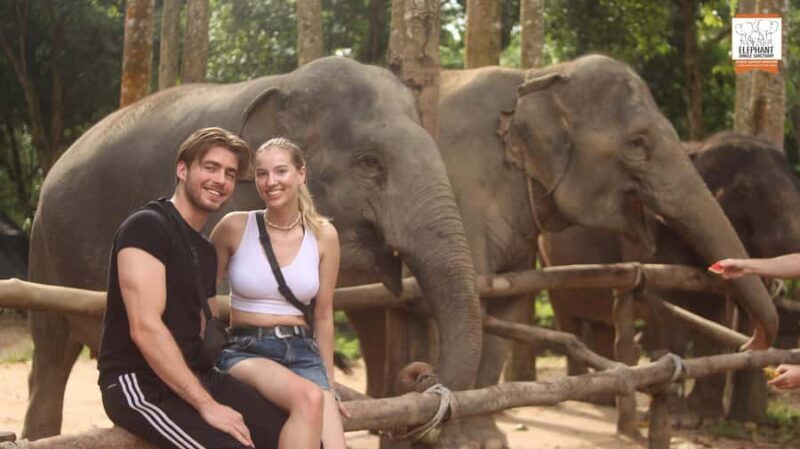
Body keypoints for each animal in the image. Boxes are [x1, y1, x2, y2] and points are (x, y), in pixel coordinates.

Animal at [23, 56, 484, 445]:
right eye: (370, 162)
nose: (420, 374)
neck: (287, 81)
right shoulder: (226, 211)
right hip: (44, 249)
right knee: (50, 357)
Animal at [540, 131, 800, 422]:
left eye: (795, 181)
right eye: (746, 189)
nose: (746, 347)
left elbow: (714, 317)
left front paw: (706, 416)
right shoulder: (650, 238)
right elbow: (668, 312)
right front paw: (680, 418)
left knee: (604, 321)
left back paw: (606, 399)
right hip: (549, 263)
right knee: (568, 317)